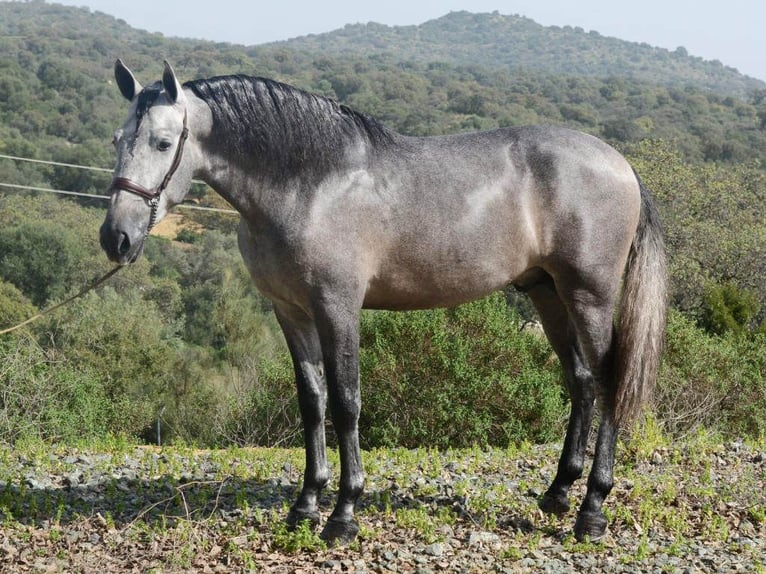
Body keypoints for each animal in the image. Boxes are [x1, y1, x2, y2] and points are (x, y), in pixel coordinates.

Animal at [100, 60, 664, 548]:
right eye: (116, 140)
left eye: (163, 142)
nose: (116, 238)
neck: (309, 186)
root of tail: (623, 165)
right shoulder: (291, 312)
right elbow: (312, 403)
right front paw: (305, 506)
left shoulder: (338, 307)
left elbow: (346, 403)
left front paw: (343, 515)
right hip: (548, 293)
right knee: (581, 382)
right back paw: (558, 494)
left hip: (590, 295)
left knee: (608, 382)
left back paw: (592, 511)